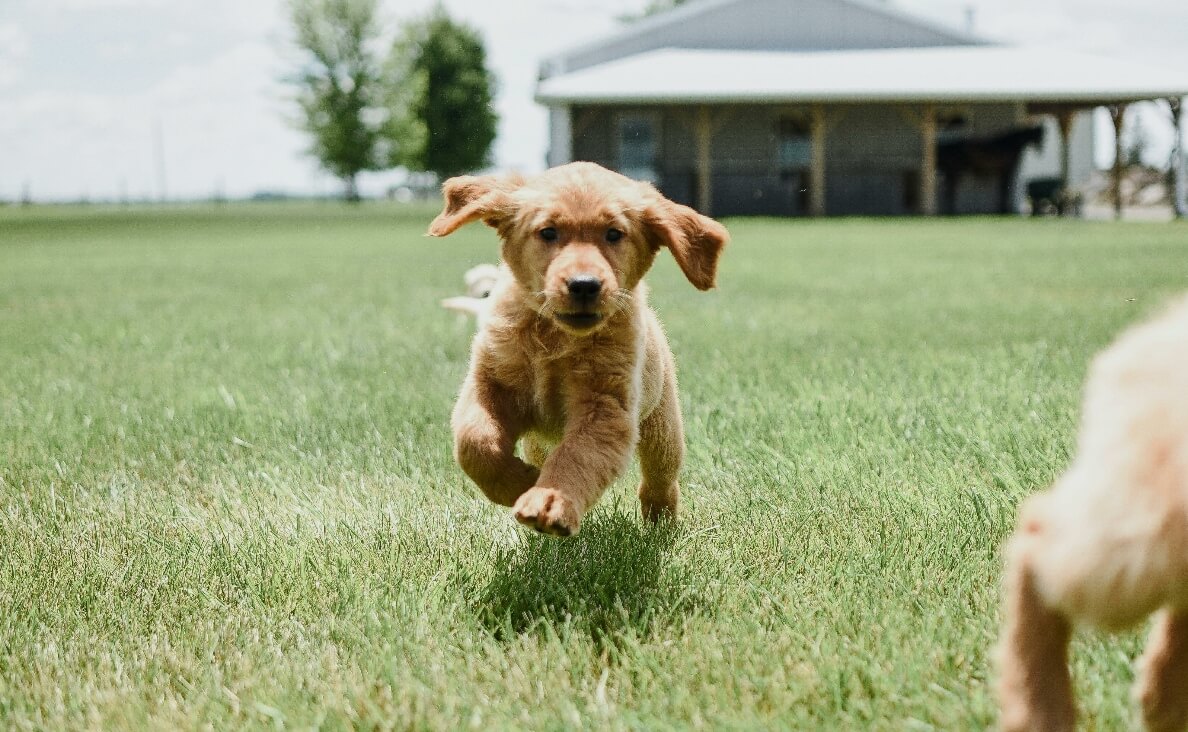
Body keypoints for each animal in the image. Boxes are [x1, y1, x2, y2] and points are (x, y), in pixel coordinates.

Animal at [427, 161, 722, 537]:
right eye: (548, 232)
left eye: (614, 234)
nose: (584, 285)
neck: (556, 337)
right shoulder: (489, 383)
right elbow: (474, 441)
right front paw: (518, 483)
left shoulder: (605, 410)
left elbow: (576, 456)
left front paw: (550, 499)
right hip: (538, 440)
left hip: (663, 425)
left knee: (660, 477)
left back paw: (660, 522)